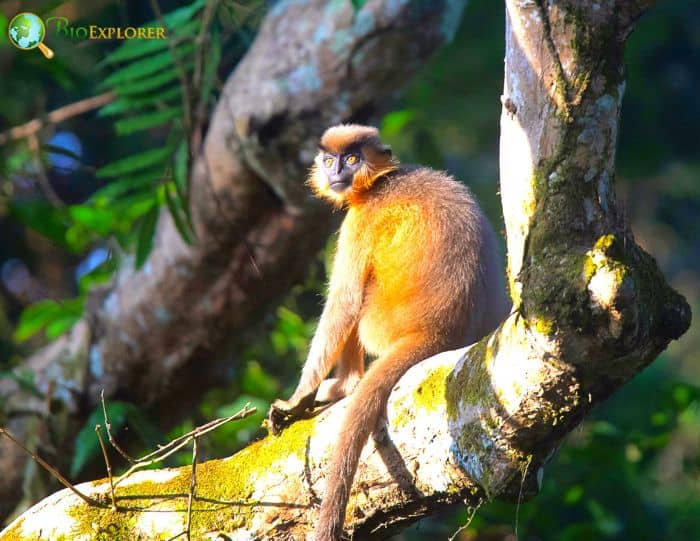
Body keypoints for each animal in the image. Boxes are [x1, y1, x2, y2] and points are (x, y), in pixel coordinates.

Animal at [268, 123, 508, 540]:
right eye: (329, 160)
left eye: (351, 158)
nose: (336, 172)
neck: (379, 183)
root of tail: (439, 333)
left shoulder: (361, 220)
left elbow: (344, 301)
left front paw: (297, 399)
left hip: (380, 320)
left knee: (357, 298)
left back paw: (346, 386)